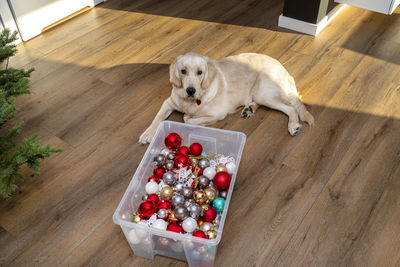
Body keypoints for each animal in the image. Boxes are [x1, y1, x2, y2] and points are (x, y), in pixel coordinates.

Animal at [139, 52, 314, 144]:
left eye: (200, 72)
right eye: (183, 71)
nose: (190, 90)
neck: (192, 102)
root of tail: (284, 68)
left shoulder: (217, 114)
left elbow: (188, 120)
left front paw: (188, 117)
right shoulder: (168, 102)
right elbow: (157, 117)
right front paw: (147, 134)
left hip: (264, 93)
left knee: (291, 107)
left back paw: (293, 125)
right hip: (260, 95)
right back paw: (249, 109)